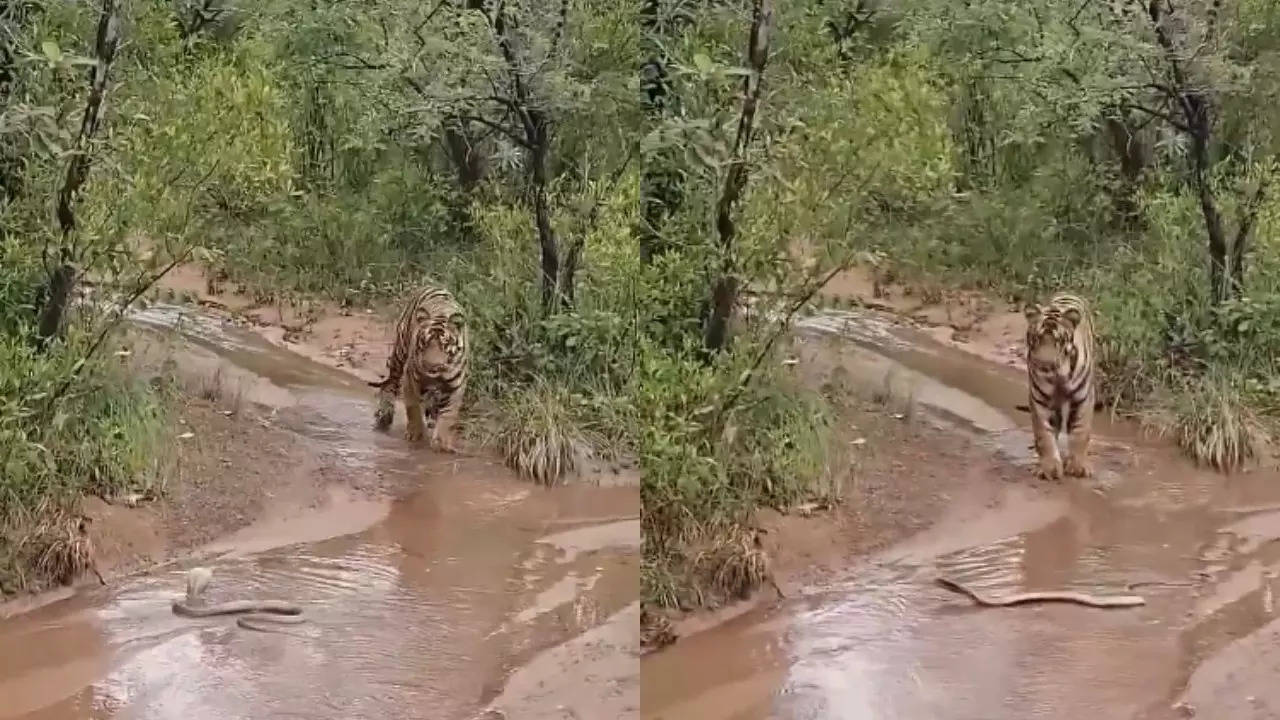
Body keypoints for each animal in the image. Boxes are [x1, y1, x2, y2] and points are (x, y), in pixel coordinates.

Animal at [368, 283, 468, 450]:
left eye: (444, 344)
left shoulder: (455, 386)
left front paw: (441, 443)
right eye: (425, 343)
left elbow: (449, 415)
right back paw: (385, 415)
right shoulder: (410, 379)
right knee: (390, 383)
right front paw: (415, 434)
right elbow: (413, 408)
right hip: (400, 352)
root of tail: (431, 285)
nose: (432, 366)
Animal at [1024, 288, 1095, 479]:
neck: (1058, 375)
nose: (1043, 362)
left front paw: (1078, 466)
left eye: (1057, 341)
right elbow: (1044, 434)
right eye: (1037, 338)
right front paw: (1049, 467)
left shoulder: (1083, 398)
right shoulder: (1040, 399)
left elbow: (1080, 431)